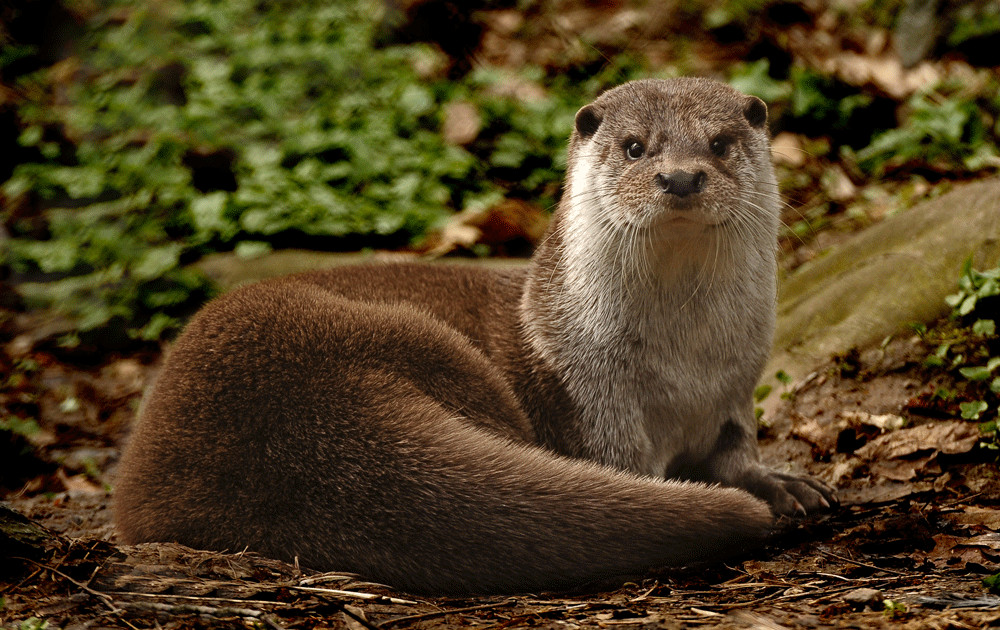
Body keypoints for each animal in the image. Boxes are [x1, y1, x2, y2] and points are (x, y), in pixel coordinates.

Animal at [115, 76, 836, 596]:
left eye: (720, 143)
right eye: (635, 146)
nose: (681, 176)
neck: (684, 364)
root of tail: (289, 425)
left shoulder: (735, 387)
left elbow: (737, 450)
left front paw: (780, 483)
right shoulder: (593, 393)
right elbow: (626, 464)